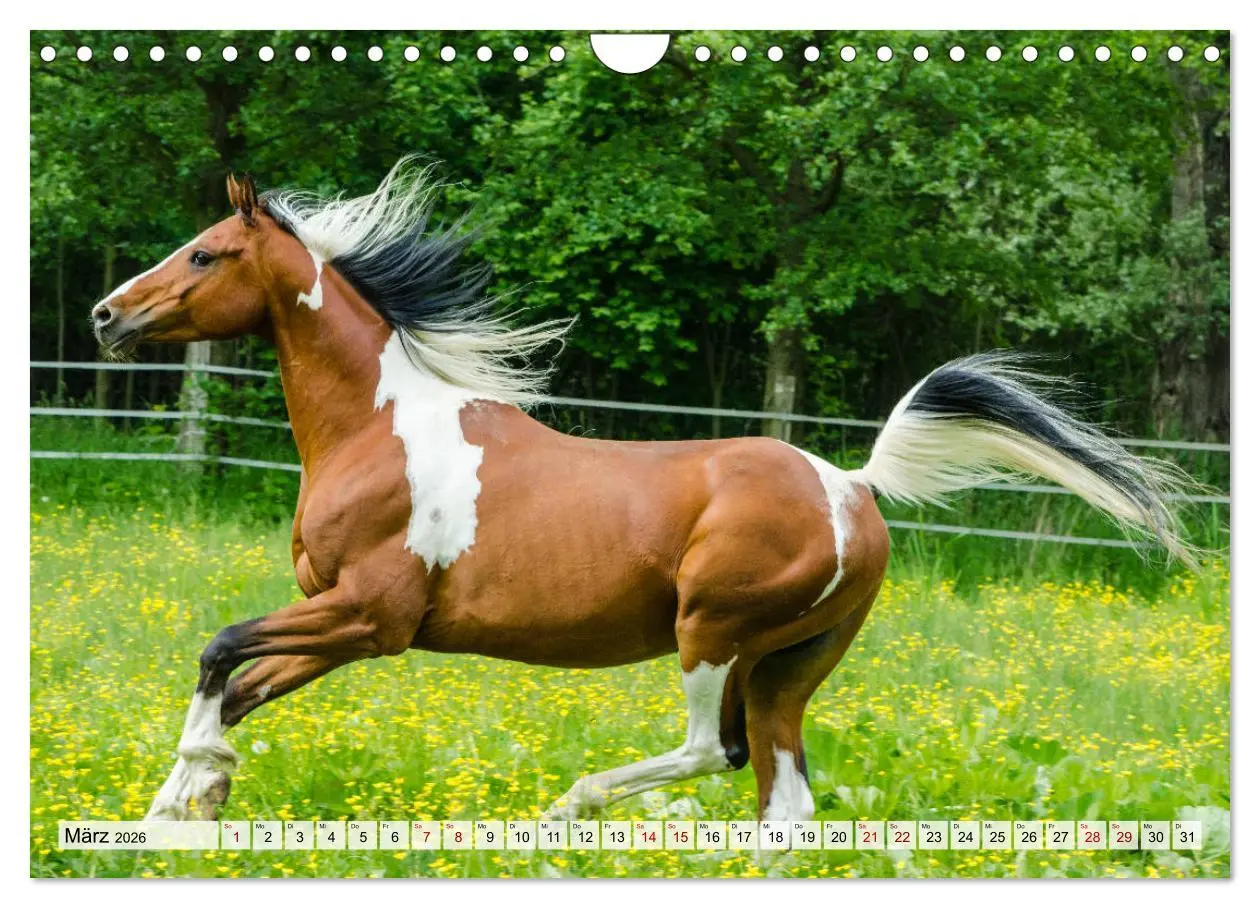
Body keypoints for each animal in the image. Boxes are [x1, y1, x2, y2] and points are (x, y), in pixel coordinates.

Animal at [90, 160, 1196, 824]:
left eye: (205, 252)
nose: (106, 314)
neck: (378, 430)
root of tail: (852, 484)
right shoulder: (344, 622)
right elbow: (235, 686)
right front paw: (180, 810)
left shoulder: (371, 614)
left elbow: (217, 653)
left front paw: (179, 801)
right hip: (790, 664)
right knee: (783, 800)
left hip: (713, 631)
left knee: (711, 750)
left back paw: (570, 807)